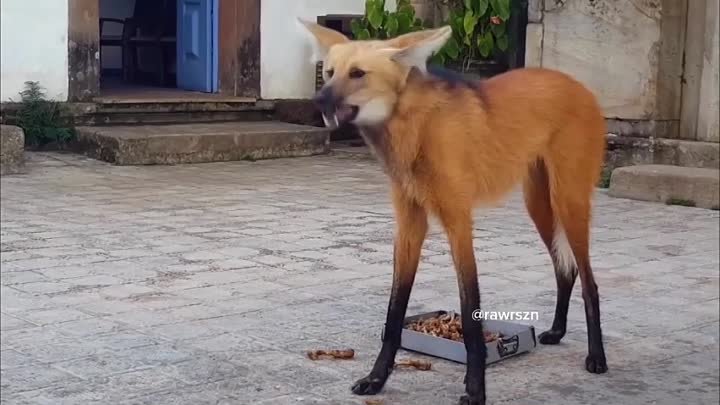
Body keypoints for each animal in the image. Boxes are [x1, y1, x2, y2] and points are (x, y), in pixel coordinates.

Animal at [298, 19, 608, 404]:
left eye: (357, 74)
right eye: (329, 73)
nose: (318, 99)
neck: (415, 130)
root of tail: (578, 84)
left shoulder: (458, 219)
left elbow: (471, 308)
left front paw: (475, 390)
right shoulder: (410, 222)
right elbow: (394, 311)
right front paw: (376, 378)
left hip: (568, 200)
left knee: (589, 281)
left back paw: (597, 357)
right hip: (537, 204)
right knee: (565, 269)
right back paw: (557, 330)